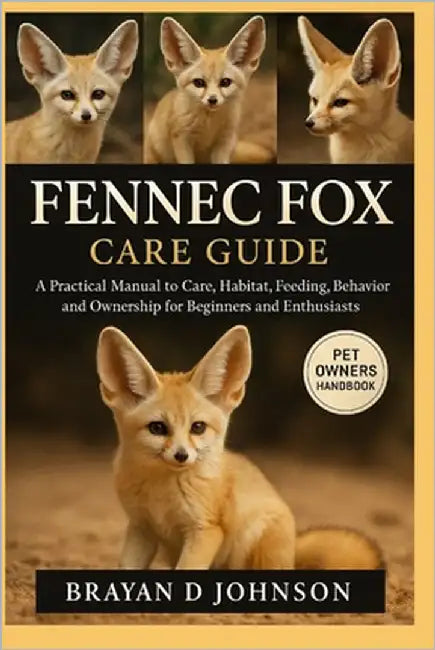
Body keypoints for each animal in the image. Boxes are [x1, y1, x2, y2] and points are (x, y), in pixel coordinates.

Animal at [96, 325, 383, 570]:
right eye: (157, 428)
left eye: (197, 427)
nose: (181, 455)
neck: (161, 495)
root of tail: (292, 552)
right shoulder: (141, 527)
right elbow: (126, 566)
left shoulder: (206, 530)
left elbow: (187, 567)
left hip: (250, 538)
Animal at [144, 16, 275, 164]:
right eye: (199, 83)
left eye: (225, 82)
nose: (212, 100)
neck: (208, 126)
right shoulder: (182, 139)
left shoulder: (224, 141)